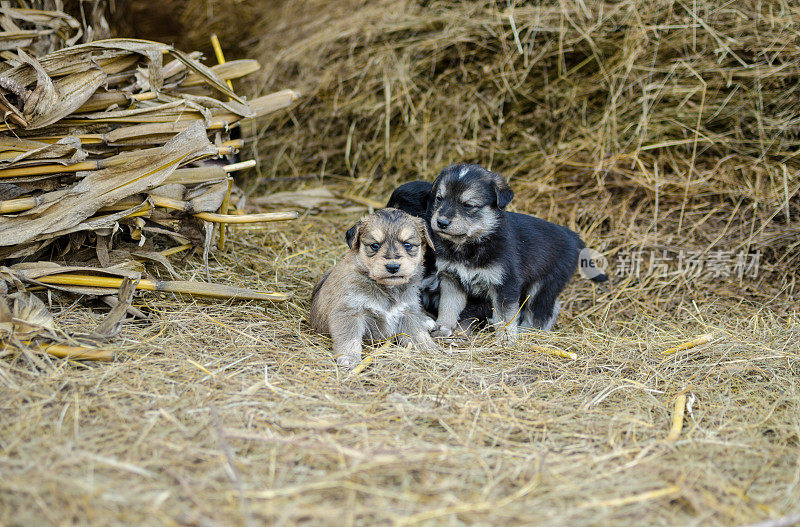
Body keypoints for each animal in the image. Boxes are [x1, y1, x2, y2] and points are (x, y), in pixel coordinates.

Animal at [310, 208, 438, 370]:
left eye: (408, 245)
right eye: (375, 245)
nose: (393, 267)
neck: (387, 289)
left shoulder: (408, 311)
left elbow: (417, 333)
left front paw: (428, 348)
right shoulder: (349, 312)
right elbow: (349, 338)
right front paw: (349, 358)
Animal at [424, 163, 608, 340]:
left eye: (468, 205)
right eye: (439, 198)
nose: (441, 222)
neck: (471, 245)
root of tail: (571, 234)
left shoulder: (505, 283)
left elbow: (505, 316)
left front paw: (506, 340)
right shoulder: (451, 278)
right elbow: (448, 306)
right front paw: (443, 328)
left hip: (544, 284)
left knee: (542, 311)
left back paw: (530, 334)